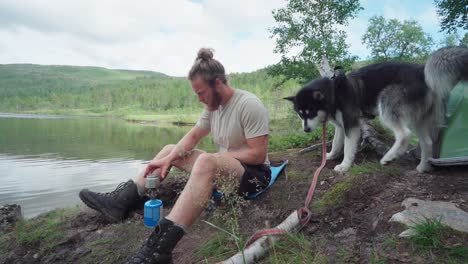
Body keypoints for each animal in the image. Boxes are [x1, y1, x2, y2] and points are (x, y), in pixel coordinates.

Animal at [286, 46, 468, 172]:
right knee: (427, 142)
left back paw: (389, 157)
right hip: (418, 119)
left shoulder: (351, 124)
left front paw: (344, 166)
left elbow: (348, 147)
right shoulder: (341, 125)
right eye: (300, 114)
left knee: (404, 134)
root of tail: (421, 71)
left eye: (310, 112)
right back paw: (423, 167)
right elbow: (337, 143)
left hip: (387, 104)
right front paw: (330, 155)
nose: (306, 130)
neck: (334, 91)